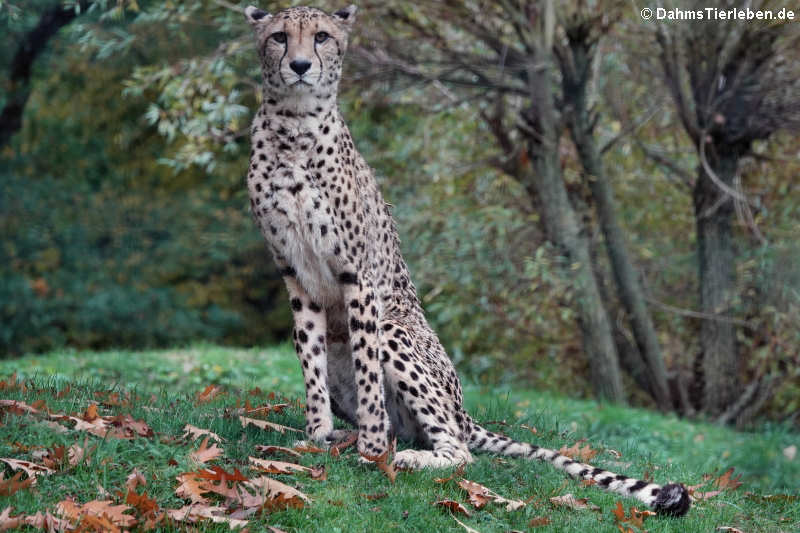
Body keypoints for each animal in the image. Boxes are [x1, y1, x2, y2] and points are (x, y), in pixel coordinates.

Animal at [242, 2, 688, 512]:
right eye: (279, 37)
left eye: (321, 37)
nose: (299, 66)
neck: (294, 128)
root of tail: (464, 410)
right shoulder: (295, 274)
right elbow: (311, 364)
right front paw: (317, 437)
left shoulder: (358, 275)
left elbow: (369, 375)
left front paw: (370, 450)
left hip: (396, 330)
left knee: (457, 449)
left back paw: (405, 456)